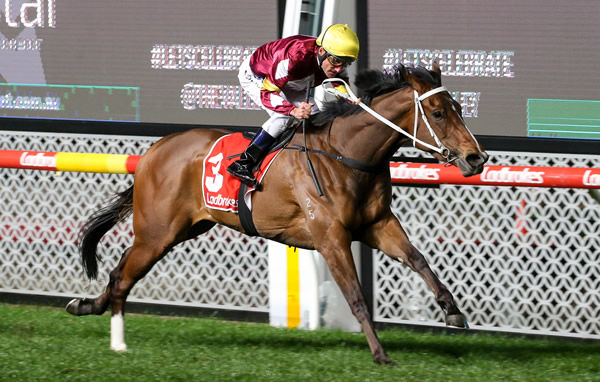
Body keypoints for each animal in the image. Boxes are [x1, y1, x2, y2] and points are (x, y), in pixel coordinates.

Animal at [67, 64, 488, 366]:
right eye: (437, 112)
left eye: (459, 108)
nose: (476, 158)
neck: (346, 154)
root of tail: (154, 151)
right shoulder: (330, 237)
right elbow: (355, 296)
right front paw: (381, 354)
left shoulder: (378, 225)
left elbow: (418, 259)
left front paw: (453, 312)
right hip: (157, 232)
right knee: (124, 276)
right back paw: (118, 341)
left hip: (179, 230)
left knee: (120, 270)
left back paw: (87, 306)